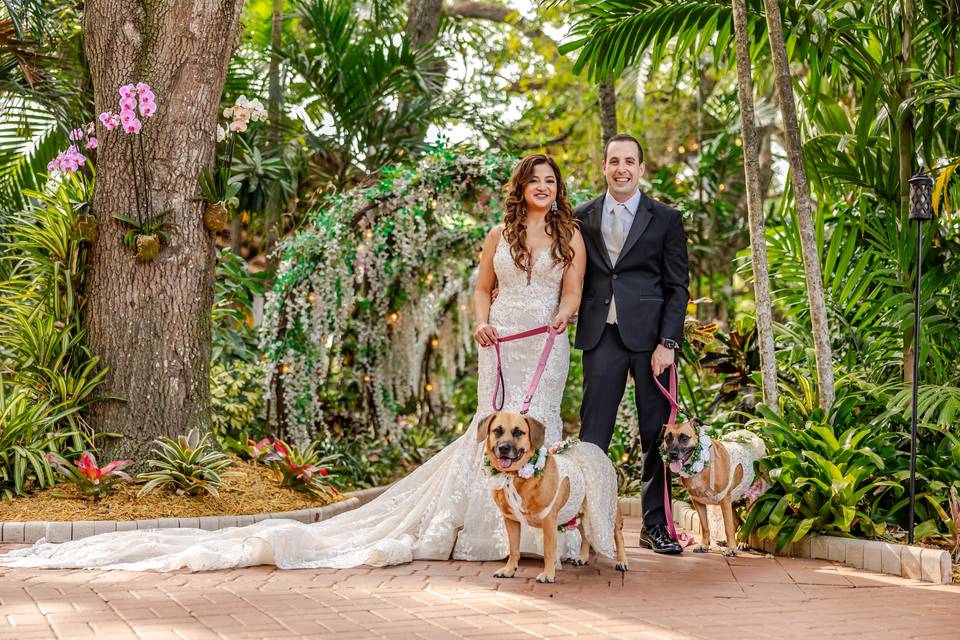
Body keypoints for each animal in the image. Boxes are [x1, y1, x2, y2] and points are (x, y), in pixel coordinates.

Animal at [478, 412, 632, 584]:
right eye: (497, 431)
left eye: (518, 432)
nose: (504, 448)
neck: (513, 476)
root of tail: (595, 449)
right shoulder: (511, 520)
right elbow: (514, 548)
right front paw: (509, 570)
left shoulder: (548, 520)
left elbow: (549, 550)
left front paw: (548, 574)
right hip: (578, 511)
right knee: (585, 533)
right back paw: (583, 556)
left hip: (608, 509)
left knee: (617, 534)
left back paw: (622, 561)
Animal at [664, 420, 768, 556]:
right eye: (667, 438)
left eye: (684, 438)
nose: (672, 454)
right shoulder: (698, 502)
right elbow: (705, 527)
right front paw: (704, 545)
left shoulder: (724, 500)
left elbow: (728, 527)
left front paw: (731, 549)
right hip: (732, 501)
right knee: (736, 522)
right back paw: (726, 541)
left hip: (751, 500)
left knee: (747, 523)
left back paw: (742, 543)